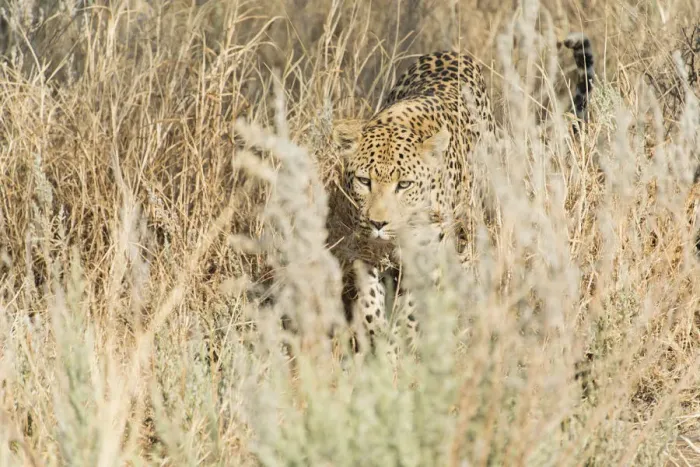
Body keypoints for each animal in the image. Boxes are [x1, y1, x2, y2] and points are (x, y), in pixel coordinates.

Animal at [331, 33, 596, 360]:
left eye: (404, 185)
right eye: (364, 181)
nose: (378, 223)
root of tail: (451, 52)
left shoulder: (430, 258)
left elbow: (409, 312)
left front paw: (397, 351)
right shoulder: (367, 252)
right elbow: (370, 303)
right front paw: (378, 342)